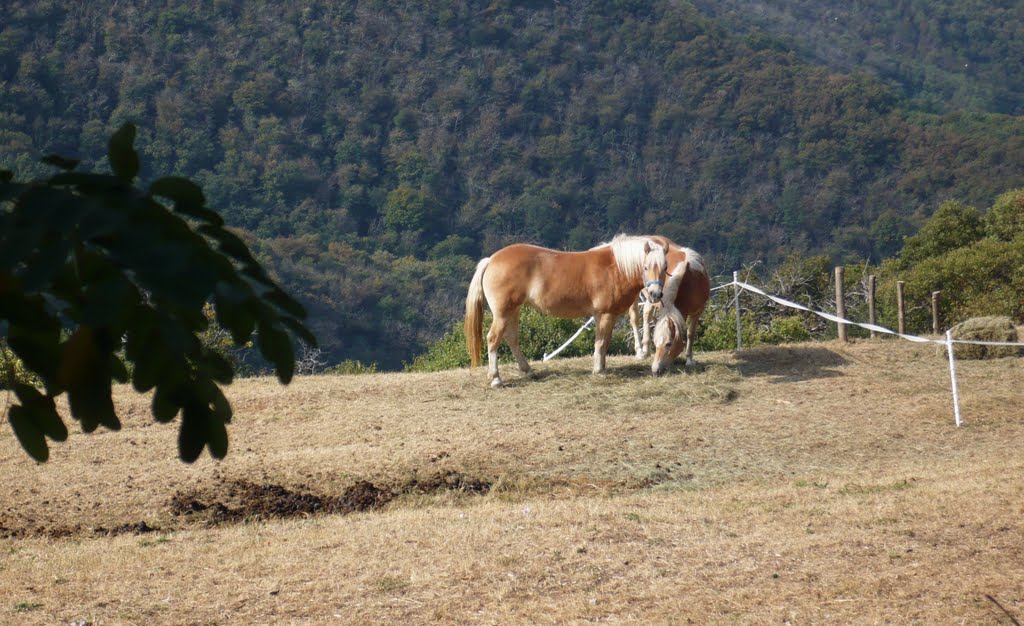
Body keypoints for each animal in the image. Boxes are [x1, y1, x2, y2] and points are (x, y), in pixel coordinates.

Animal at [466, 236, 671, 387]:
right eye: (646, 267)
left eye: (665, 267)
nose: (655, 294)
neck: (615, 267)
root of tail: (491, 260)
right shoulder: (604, 314)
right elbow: (601, 343)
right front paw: (599, 370)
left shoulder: (606, 316)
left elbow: (604, 343)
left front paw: (602, 367)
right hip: (502, 313)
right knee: (493, 339)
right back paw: (496, 378)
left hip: (513, 310)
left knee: (511, 338)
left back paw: (528, 371)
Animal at [647, 249, 712, 377]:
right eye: (655, 343)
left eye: (669, 344)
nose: (655, 370)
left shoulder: (698, 312)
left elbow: (690, 333)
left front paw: (689, 360)